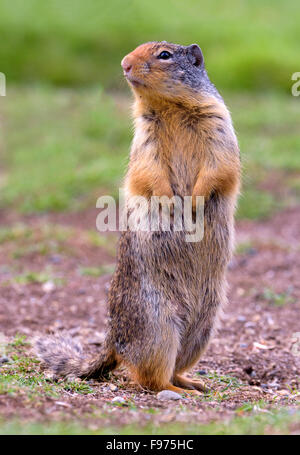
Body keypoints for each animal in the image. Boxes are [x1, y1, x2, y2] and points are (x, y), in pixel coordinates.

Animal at [35, 41, 241, 396]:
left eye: (164, 55)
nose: (124, 64)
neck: (170, 108)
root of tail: (112, 342)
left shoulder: (218, 124)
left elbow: (219, 167)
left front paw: (194, 201)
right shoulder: (145, 138)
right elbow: (150, 171)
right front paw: (172, 202)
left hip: (202, 330)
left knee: (172, 370)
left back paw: (193, 383)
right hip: (157, 326)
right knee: (149, 378)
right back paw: (180, 390)